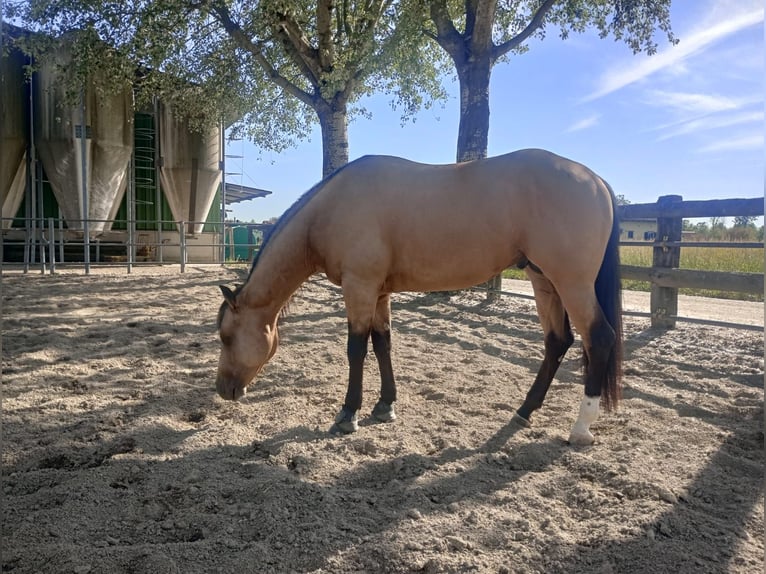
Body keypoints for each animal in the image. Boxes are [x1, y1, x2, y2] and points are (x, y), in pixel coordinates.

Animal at [216, 148, 624, 446]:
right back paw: (525, 410)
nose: (223, 390)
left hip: (572, 283)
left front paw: (348, 414)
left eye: (225, 337)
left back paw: (580, 428)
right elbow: (383, 343)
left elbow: (356, 349)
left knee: (599, 338)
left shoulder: (359, 287)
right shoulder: (378, 292)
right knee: (558, 341)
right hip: (544, 281)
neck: (331, 210)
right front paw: (385, 405)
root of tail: (596, 180)